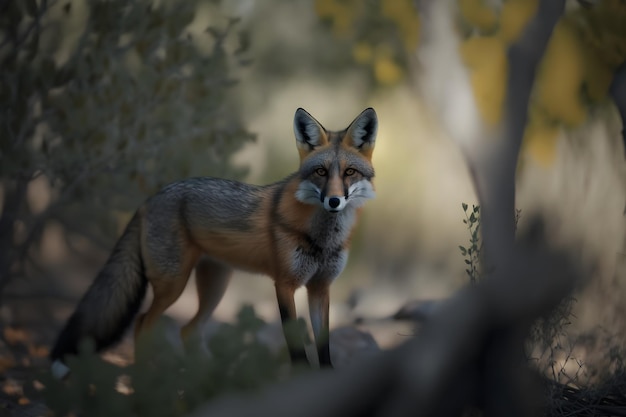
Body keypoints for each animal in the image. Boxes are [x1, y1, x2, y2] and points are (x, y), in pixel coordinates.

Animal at [50, 105, 376, 376]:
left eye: (349, 172)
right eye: (321, 171)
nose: (334, 201)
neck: (324, 239)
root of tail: (150, 198)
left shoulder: (320, 287)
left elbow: (324, 345)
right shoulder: (285, 284)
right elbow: (294, 343)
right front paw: (302, 377)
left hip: (215, 287)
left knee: (188, 330)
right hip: (173, 285)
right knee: (143, 323)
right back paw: (146, 378)